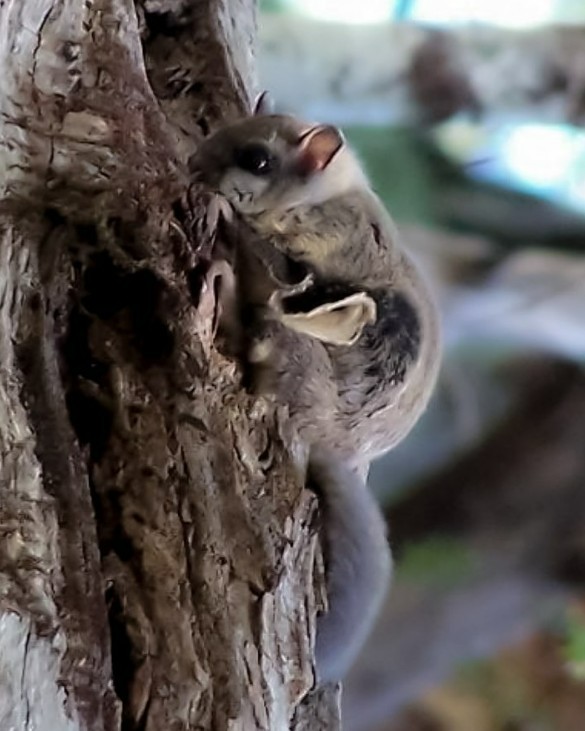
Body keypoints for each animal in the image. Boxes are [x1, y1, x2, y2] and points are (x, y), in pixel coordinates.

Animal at [190, 97, 441, 685]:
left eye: (256, 159)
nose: (193, 163)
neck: (324, 194)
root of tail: (327, 442)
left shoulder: (313, 248)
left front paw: (221, 209)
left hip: (293, 344)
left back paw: (222, 279)